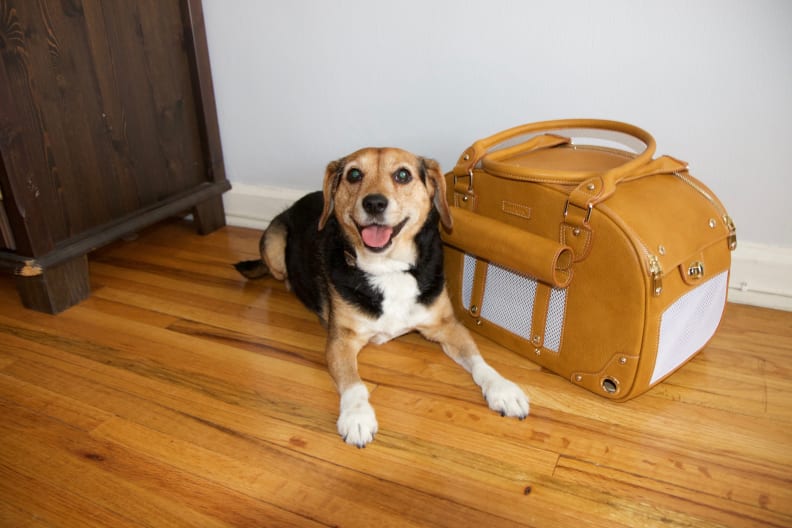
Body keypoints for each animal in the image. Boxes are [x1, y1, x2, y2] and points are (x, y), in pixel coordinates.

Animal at [237, 147, 532, 446]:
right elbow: (354, 384)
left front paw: (503, 388)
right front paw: (357, 416)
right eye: (354, 174)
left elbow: (478, 361)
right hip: (274, 244)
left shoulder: (447, 326)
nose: (374, 204)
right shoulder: (341, 340)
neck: (388, 268)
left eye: (403, 174)